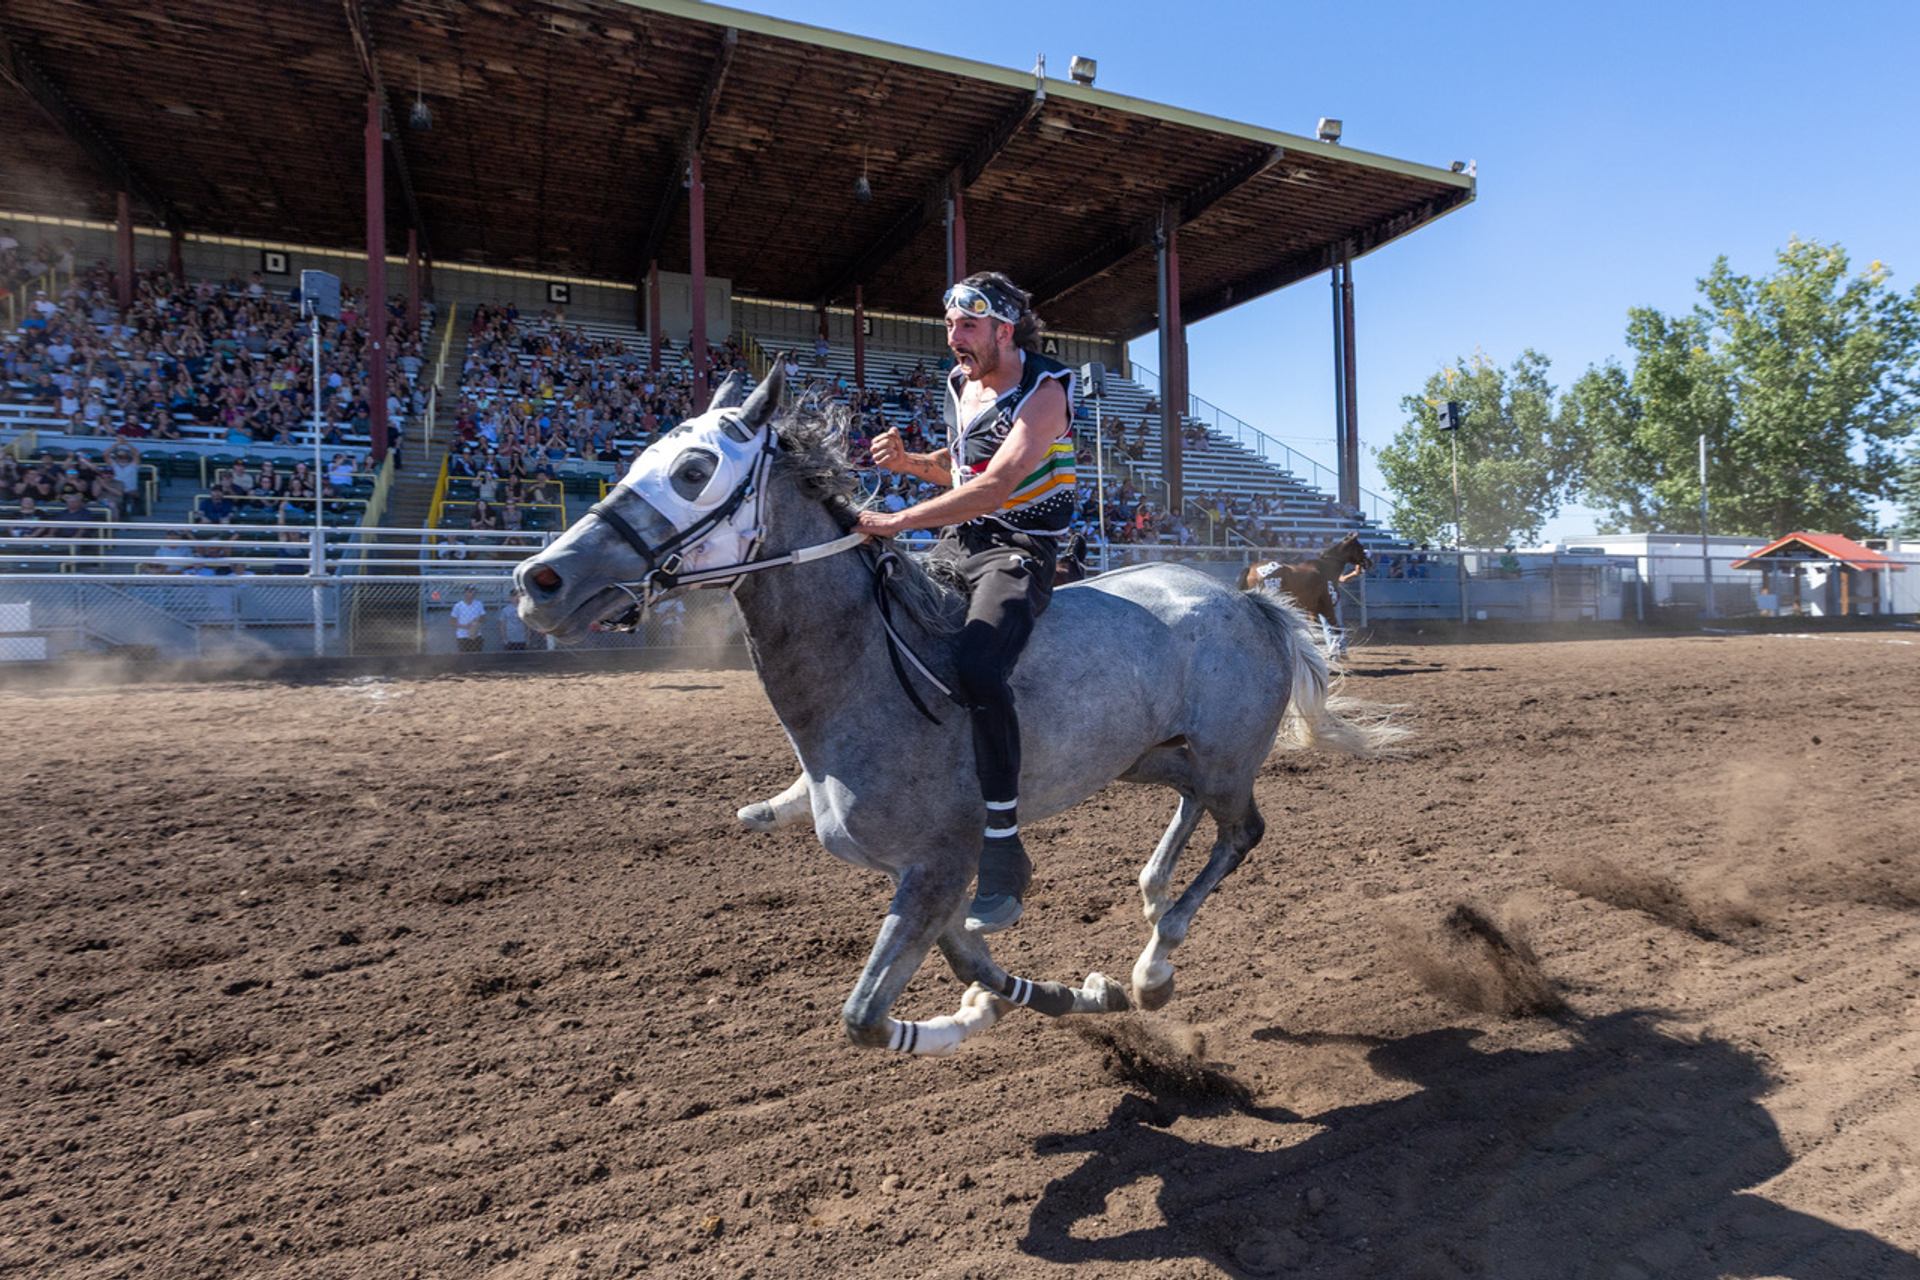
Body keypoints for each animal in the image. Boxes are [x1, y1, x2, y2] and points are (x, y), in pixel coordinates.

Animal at [1240, 532, 1372, 650]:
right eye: (1360, 547)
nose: (1369, 562)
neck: (1327, 569)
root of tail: (1251, 569)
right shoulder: (1328, 609)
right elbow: (1336, 630)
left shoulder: (1313, 612)